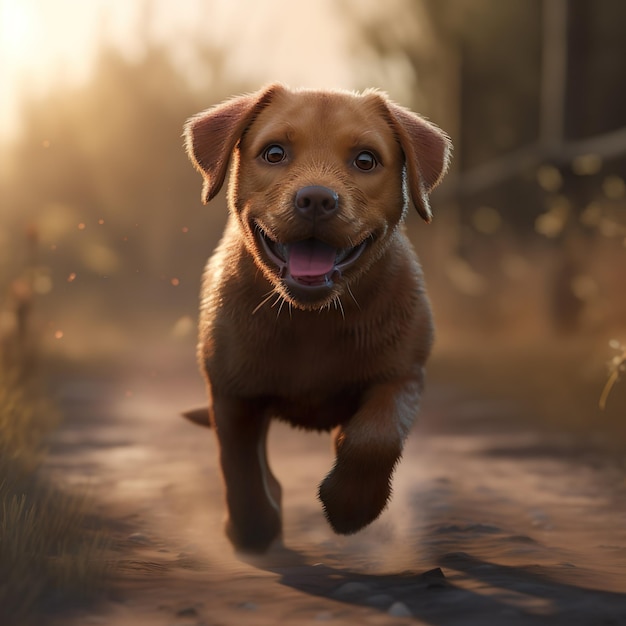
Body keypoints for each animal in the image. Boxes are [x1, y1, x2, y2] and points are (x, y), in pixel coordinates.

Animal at [180, 84, 448, 552]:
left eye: (365, 160)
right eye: (274, 153)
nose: (317, 200)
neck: (313, 319)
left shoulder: (403, 375)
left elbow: (375, 437)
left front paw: (350, 505)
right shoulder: (232, 391)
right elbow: (239, 464)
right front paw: (253, 529)